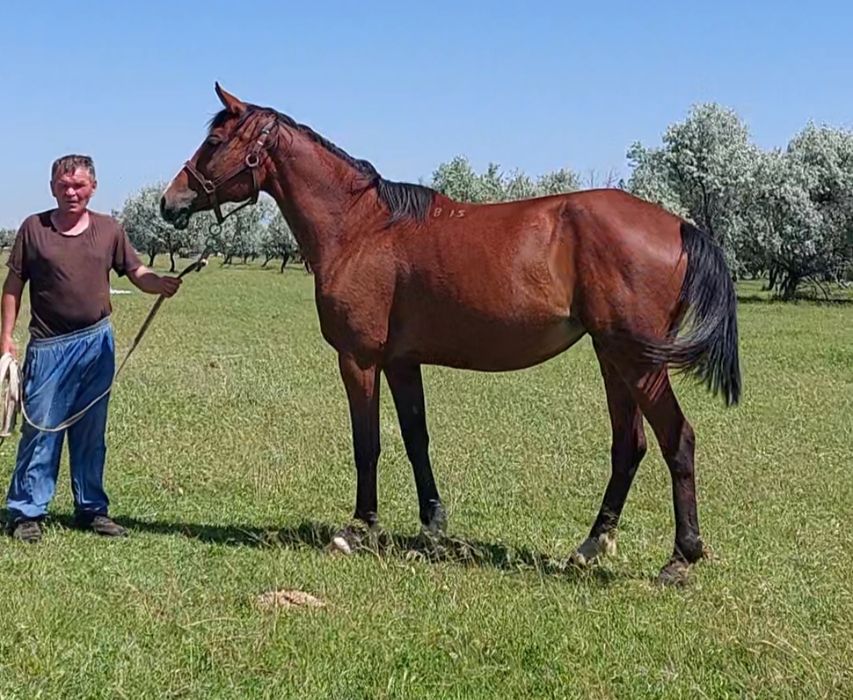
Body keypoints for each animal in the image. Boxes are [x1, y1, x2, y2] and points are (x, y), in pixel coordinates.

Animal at [161, 84, 740, 584]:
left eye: (214, 142)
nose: (171, 202)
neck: (362, 227)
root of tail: (679, 226)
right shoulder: (401, 361)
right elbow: (415, 439)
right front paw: (431, 526)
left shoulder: (360, 359)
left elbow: (367, 443)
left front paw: (358, 528)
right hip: (612, 356)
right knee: (630, 445)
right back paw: (590, 545)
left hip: (638, 361)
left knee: (677, 440)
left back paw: (681, 557)